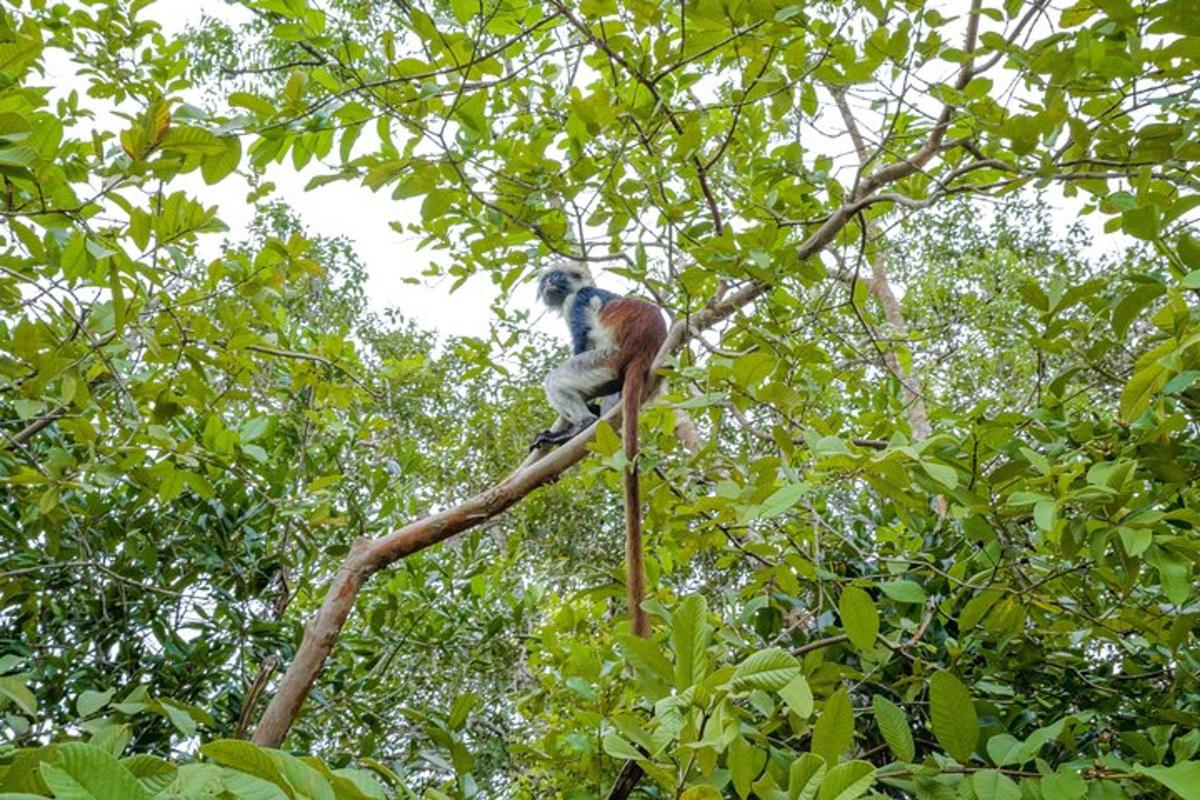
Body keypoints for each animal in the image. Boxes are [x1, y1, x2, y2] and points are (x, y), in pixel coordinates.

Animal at [532, 262, 667, 638]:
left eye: (558, 277)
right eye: (546, 278)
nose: (550, 283)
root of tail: (646, 350)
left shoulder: (576, 303)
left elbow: (580, 342)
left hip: (608, 360)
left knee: (559, 376)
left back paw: (577, 427)